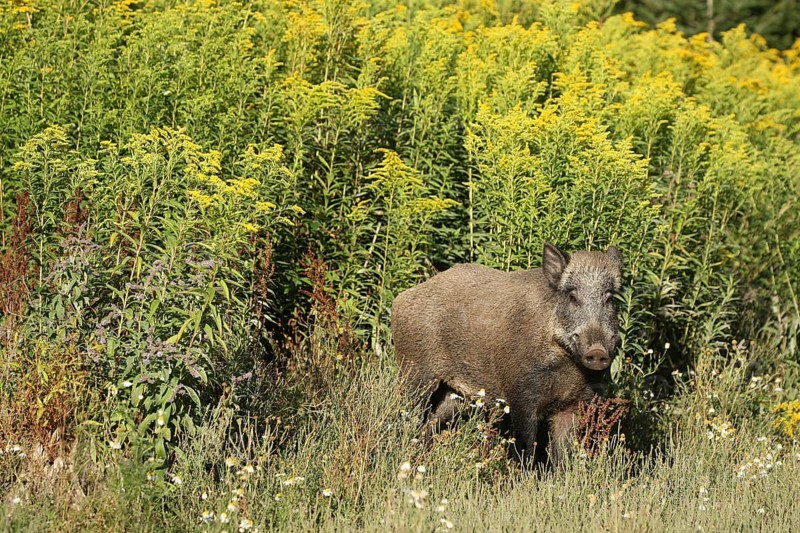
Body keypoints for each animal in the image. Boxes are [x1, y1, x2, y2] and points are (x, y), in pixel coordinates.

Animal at [391, 243, 623, 464]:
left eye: (609, 299)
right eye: (573, 296)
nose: (597, 351)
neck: (567, 365)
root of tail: (399, 299)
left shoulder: (575, 403)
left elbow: (564, 454)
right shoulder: (520, 394)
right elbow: (525, 447)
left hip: (454, 394)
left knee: (430, 424)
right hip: (414, 373)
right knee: (407, 413)